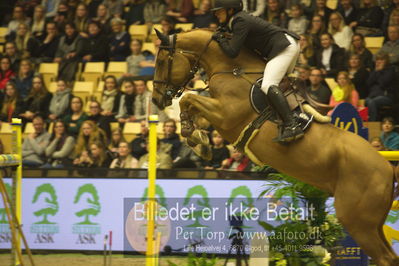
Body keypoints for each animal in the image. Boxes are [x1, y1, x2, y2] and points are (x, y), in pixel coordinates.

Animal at [151, 29, 399, 266]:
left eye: (162, 62)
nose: (155, 100)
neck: (232, 70)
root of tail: (388, 168)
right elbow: (191, 105)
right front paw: (198, 139)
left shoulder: (224, 115)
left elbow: (189, 99)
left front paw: (193, 136)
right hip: (373, 224)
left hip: (357, 221)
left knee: (385, 258)